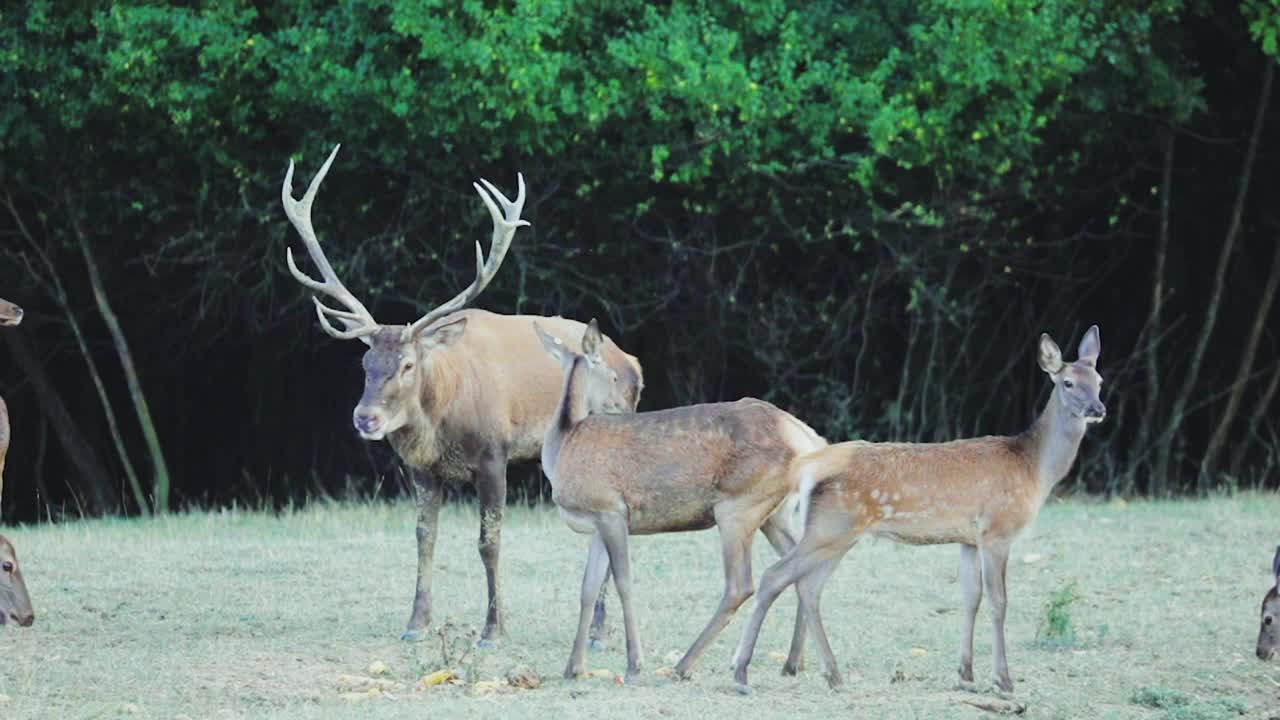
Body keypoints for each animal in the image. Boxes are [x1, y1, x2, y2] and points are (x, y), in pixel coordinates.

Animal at [280, 142, 640, 640]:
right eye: (365, 364)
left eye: (409, 364)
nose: (365, 418)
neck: (443, 422)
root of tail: (634, 363)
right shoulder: (422, 469)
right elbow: (423, 538)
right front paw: (416, 623)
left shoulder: (494, 454)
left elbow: (489, 541)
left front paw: (493, 629)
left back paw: (600, 632)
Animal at [532, 317, 824, 676]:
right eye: (612, 377)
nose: (623, 408)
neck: (563, 446)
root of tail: (807, 438)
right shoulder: (598, 521)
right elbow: (587, 588)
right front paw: (573, 667)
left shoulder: (612, 509)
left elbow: (623, 582)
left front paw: (634, 664)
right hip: (776, 513)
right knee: (799, 566)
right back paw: (792, 662)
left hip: (737, 505)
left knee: (740, 584)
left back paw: (684, 664)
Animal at [737, 324, 1105, 691]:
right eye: (1068, 382)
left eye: (1099, 380)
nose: (1098, 409)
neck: (1033, 469)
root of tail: (809, 465)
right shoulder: (997, 530)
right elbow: (999, 602)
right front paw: (1003, 680)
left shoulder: (969, 539)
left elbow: (971, 598)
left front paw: (966, 673)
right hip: (832, 527)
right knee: (774, 576)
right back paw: (742, 671)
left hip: (836, 533)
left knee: (809, 588)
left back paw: (832, 674)